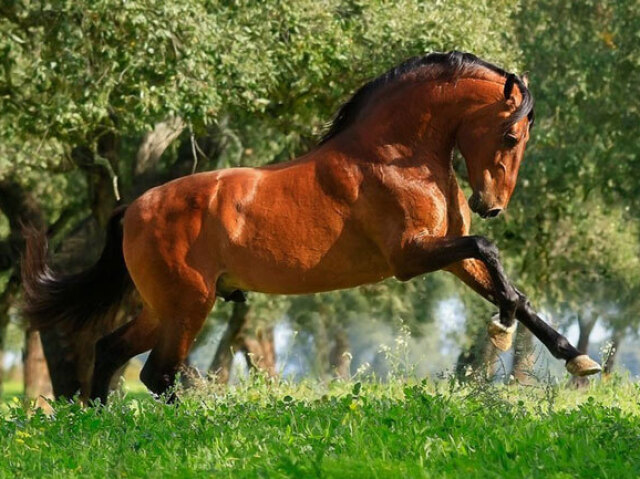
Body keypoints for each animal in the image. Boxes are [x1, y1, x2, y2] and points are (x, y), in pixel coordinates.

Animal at [20, 51, 600, 404]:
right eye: (510, 136)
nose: (491, 205)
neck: (395, 155)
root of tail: (133, 208)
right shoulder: (411, 256)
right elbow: (490, 252)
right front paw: (502, 326)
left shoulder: (448, 254)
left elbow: (512, 286)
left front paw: (578, 359)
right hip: (188, 305)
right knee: (155, 373)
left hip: (165, 306)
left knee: (113, 351)